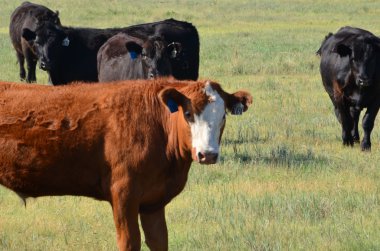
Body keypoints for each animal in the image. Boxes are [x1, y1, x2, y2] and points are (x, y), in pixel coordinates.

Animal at [0, 78, 252, 249]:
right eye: (188, 114)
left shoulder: (153, 202)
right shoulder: (124, 194)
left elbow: (159, 241)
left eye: (223, 116)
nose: (207, 154)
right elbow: (130, 242)